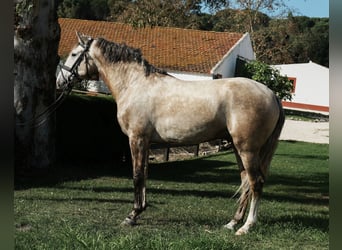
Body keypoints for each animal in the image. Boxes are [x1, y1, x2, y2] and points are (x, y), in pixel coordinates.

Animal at [56, 31, 286, 234]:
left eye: (74, 54)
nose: (60, 80)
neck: (135, 84)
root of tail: (271, 94)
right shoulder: (147, 141)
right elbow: (145, 173)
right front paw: (140, 210)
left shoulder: (137, 139)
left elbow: (137, 175)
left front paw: (131, 216)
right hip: (240, 149)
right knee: (245, 182)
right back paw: (232, 223)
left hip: (247, 149)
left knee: (255, 182)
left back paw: (246, 227)